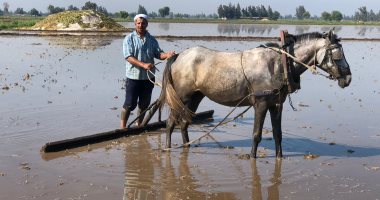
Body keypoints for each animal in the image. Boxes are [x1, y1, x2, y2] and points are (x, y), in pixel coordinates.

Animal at [151, 29, 350, 158]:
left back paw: (187, 146)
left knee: (184, 123)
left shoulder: (277, 104)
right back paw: (168, 149)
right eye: (337, 54)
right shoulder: (261, 104)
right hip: (182, 97)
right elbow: (256, 134)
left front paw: (279, 157)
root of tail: (178, 55)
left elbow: (278, 134)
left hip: (195, 97)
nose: (348, 78)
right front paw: (252, 157)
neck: (279, 63)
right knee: (171, 123)